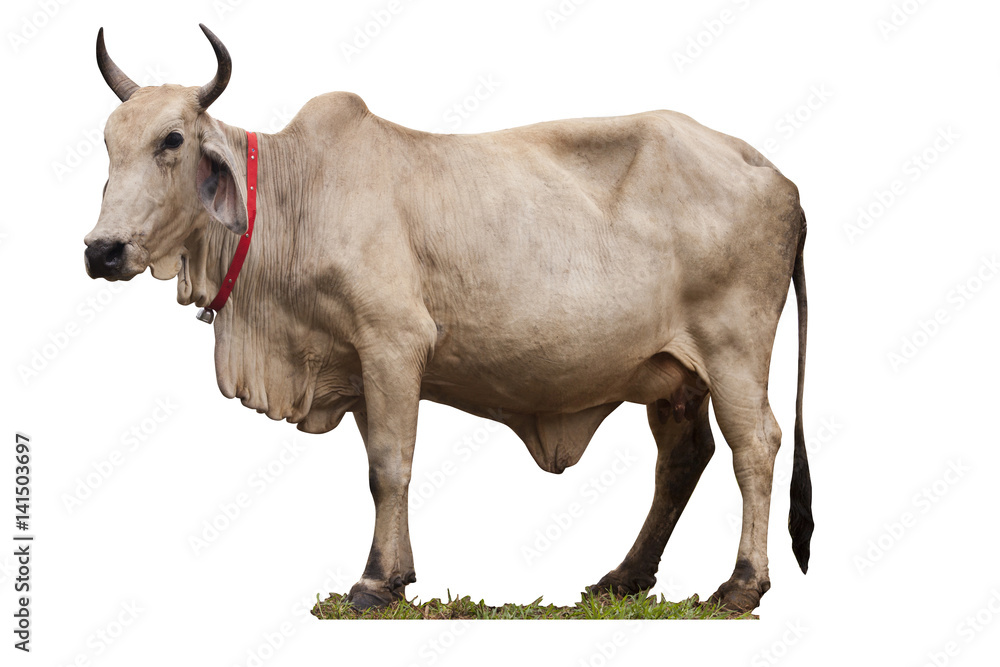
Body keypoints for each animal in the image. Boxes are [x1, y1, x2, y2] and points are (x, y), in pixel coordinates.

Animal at [84, 24, 813, 612]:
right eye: (107, 144)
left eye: (172, 140)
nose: (101, 250)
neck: (295, 198)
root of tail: (778, 176)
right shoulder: (358, 367)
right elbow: (381, 465)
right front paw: (399, 573)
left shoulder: (393, 342)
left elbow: (390, 464)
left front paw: (374, 582)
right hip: (672, 375)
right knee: (684, 458)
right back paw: (625, 577)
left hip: (734, 351)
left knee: (755, 446)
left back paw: (742, 584)